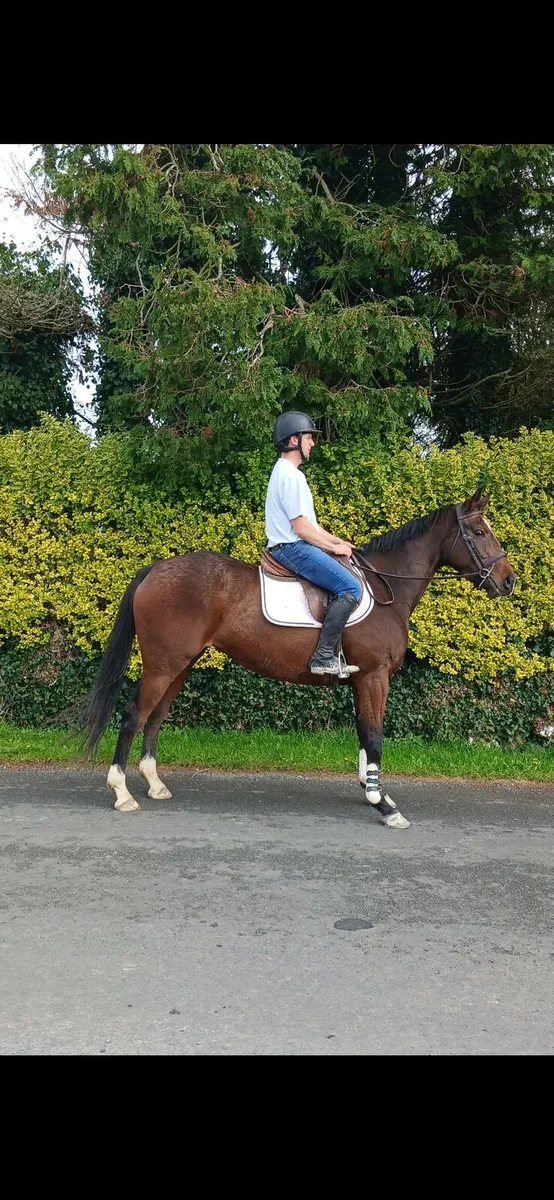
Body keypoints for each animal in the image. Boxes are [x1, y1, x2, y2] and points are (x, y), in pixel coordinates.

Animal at [82, 489, 516, 827]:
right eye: (479, 532)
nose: (509, 581)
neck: (385, 588)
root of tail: (155, 569)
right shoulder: (374, 676)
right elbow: (375, 734)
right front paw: (384, 806)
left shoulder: (360, 679)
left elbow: (364, 731)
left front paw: (370, 789)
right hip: (163, 664)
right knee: (133, 716)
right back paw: (122, 792)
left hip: (180, 665)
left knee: (155, 717)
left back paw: (154, 784)